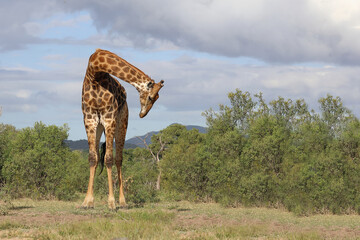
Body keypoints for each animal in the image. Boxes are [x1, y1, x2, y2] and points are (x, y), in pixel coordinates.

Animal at [81, 48, 164, 208]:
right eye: (151, 97)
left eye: (156, 98)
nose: (142, 114)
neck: (95, 73)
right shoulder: (89, 119)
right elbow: (93, 158)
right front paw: (87, 201)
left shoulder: (109, 118)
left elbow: (108, 158)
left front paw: (112, 202)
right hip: (100, 127)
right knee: (100, 156)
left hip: (122, 122)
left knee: (118, 158)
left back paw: (123, 201)